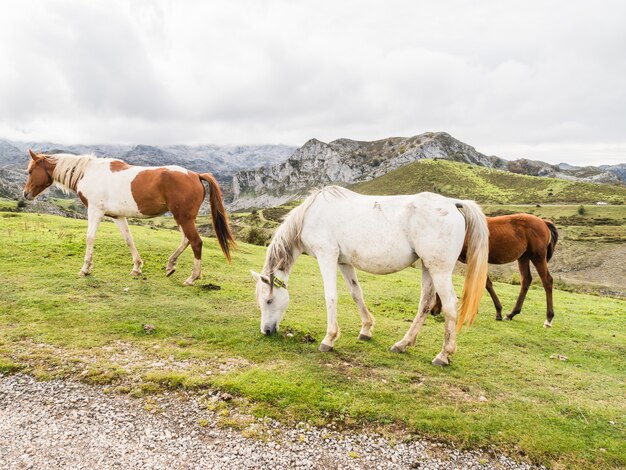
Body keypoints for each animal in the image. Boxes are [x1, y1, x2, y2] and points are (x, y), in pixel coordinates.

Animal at [22, 149, 234, 284]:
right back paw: (170, 265)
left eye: (31, 171)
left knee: (196, 242)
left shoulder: (95, 211)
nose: (25, 194)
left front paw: (85, 269)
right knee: (186, 240)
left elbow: (90, 238)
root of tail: (196, 175)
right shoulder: (117, 216)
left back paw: (192, 278)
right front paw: (137, 268)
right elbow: (128, 240)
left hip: (184, 218)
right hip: (180, 218)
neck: (89, 173)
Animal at [249, 187, 488, 368]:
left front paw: (329, 339)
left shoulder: (327, 256)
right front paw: (366, 329)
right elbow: (356, 293)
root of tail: (453, 203)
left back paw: (443, 355)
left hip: (439, 270)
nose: (266, 331)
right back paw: (402, 344)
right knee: (426, 304)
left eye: (268, 300)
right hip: (428, 268)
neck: (310, 215)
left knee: (449, 305)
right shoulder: (343, 262)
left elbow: (331, 296)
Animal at [432, 213, 560, 326]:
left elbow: (485, 283)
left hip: (537, 256)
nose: (433, 312)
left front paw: (497, 311)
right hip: (524, 257)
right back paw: (511, 314)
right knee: (526, 280)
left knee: (547, 281)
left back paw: (548, 319)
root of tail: (543, 222)